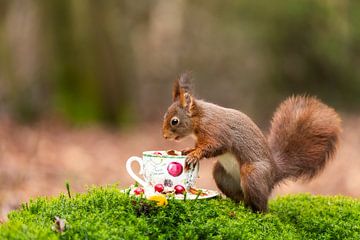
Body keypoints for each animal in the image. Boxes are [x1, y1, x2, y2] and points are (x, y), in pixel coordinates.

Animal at [162, 72, 342, 213]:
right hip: (222, 175)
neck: (200, 118)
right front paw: (188, 149)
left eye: (174, 121)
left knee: (262, 206)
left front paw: (195, 154)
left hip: (253, 174)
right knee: (241, 197)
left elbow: (214, 146)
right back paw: (237, 204)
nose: (164, 136)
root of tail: (274, 173)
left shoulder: (216, 131)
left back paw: (256, 212)